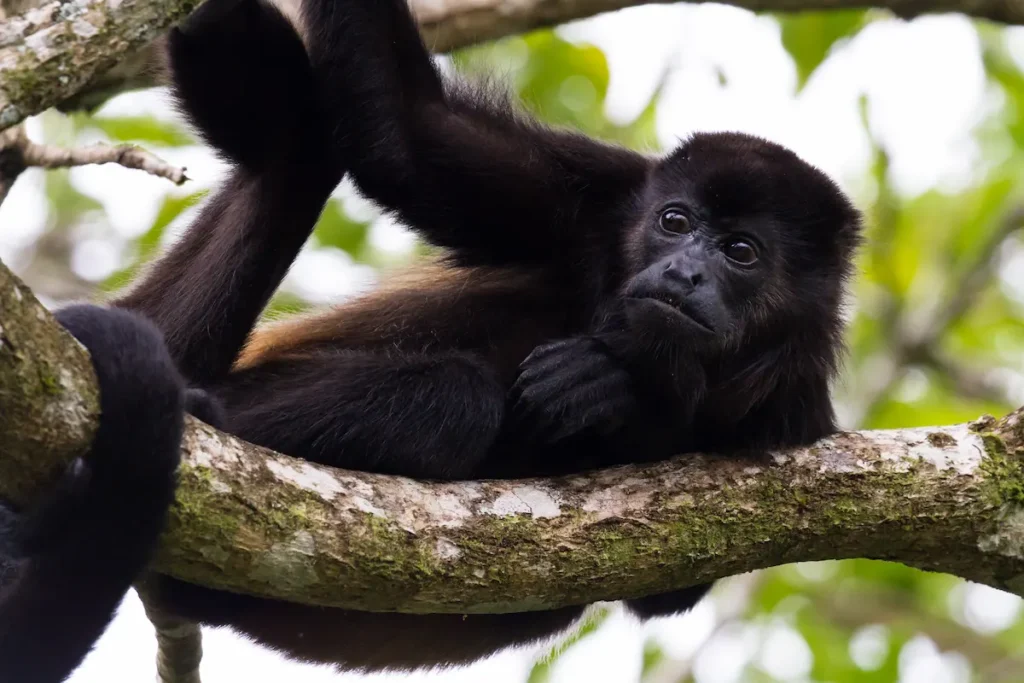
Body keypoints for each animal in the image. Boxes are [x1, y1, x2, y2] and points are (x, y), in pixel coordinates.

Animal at [7, 0, 863, 676]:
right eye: (675, 221)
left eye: (741, 251)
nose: (684, 270)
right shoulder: (597, 195)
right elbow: (406, 133)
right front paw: (618, 377)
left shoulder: (795, 410)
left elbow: (673, 588)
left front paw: (620, 385)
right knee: (443, 383)